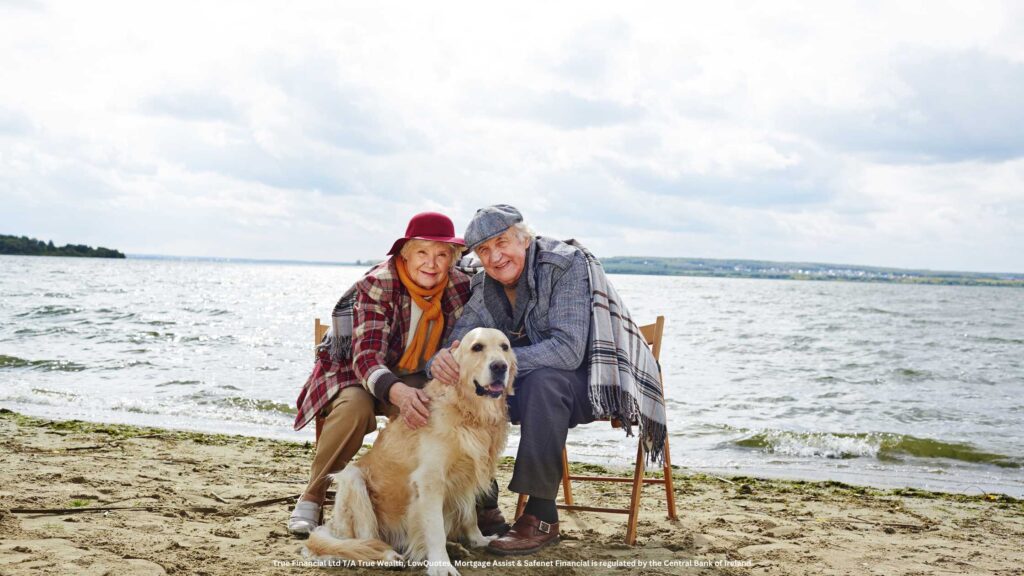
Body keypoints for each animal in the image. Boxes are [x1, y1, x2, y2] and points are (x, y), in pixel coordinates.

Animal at [301, 327, 512, 573]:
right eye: (477, 347)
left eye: (505, 347)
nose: (500, 366)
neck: (468, 412)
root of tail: (333, 528)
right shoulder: (430, 481)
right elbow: (435, 529)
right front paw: (441, 565)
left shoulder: (466, 475)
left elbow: (470, 516)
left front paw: (479, 540)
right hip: (353, 480)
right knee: (365, 541)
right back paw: (389, 556)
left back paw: (453, 548)